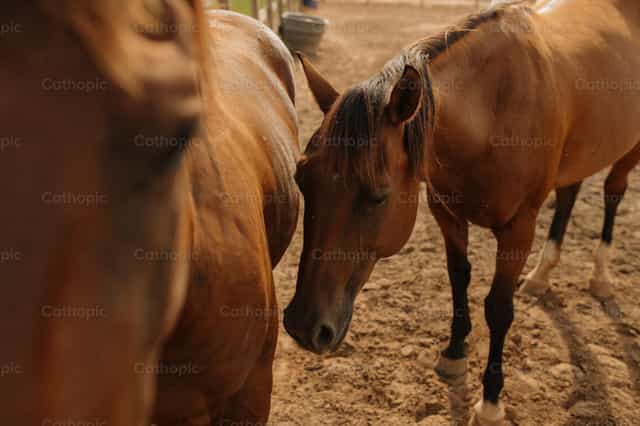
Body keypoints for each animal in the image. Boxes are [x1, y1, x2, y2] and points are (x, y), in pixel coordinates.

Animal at [284, 1, 640, 424]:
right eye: (302, 179)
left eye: (378, 196)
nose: (304, 326)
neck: (494, 108)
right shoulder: (446, 212)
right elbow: (458, 278)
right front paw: (454, 353)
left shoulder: (519, 228)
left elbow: (498, 309)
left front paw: (490, 402)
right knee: (569, 195)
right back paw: (541, 276)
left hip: (629, 152)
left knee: (613, 194)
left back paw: (600, 277)